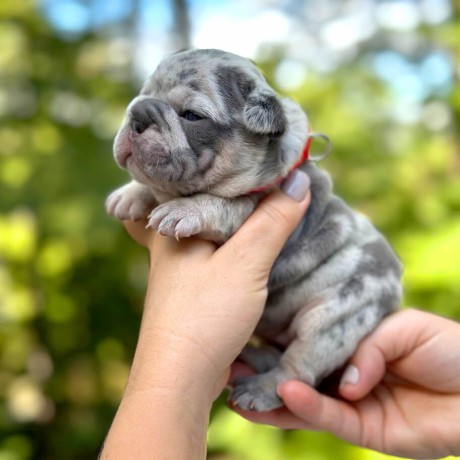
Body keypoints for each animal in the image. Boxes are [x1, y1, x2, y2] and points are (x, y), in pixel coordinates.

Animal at [106, 48, 400, 412]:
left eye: (192, 115)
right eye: (142, 96)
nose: (138, 113)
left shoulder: (254, 206)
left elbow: (221, 205)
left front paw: (182, 209)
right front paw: (130, 195)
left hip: (339, 316)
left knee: (297, 369)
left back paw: (261, 387)